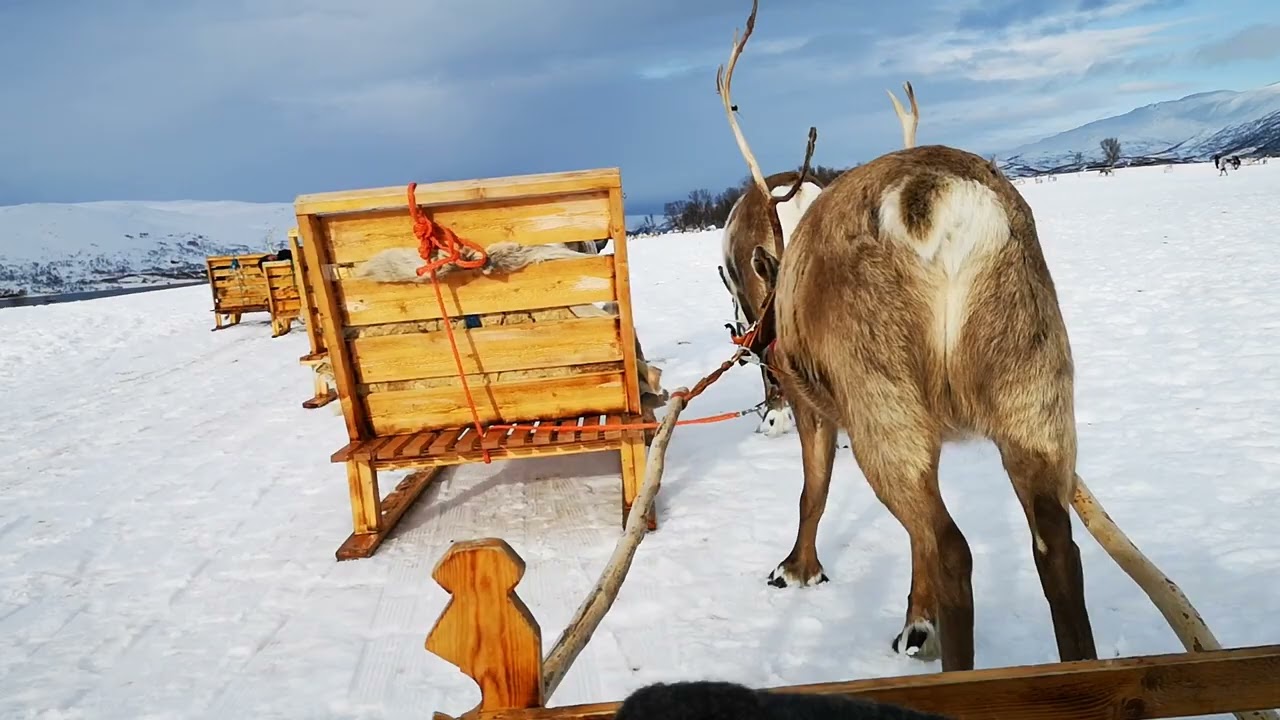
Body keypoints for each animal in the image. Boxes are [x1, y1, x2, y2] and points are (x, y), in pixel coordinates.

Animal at [716, 0, 1097, 672]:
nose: (749, 341)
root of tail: (941, 200)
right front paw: (918, 619)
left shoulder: (818, 403)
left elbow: (812, 491)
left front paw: (797, 569)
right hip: (1034, 386)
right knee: (1056, 544)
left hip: (881, 396)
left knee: (954, 549)